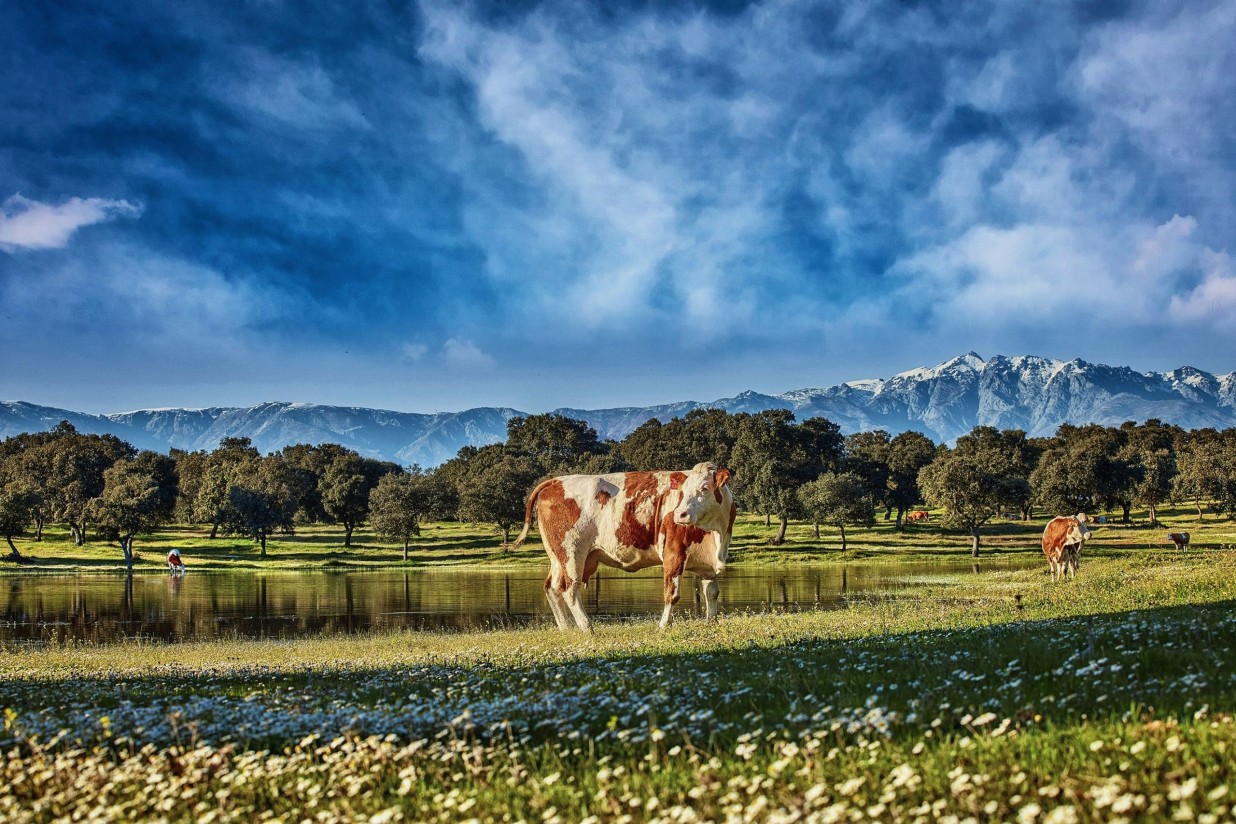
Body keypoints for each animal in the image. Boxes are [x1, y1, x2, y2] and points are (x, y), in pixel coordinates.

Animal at [511, 464, 731, 632]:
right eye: (682, 491)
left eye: (705, 488)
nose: (680, 514)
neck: (716, 536)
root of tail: (556, 481)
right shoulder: (674, 552)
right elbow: (672, 593)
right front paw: (663, 626)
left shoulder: (707, 566)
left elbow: (712, 592)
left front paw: (712, 624)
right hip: (572, 553)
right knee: (569, 589)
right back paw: (586, 627)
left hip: (557, 557)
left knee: (552, 587)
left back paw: (566, 628)